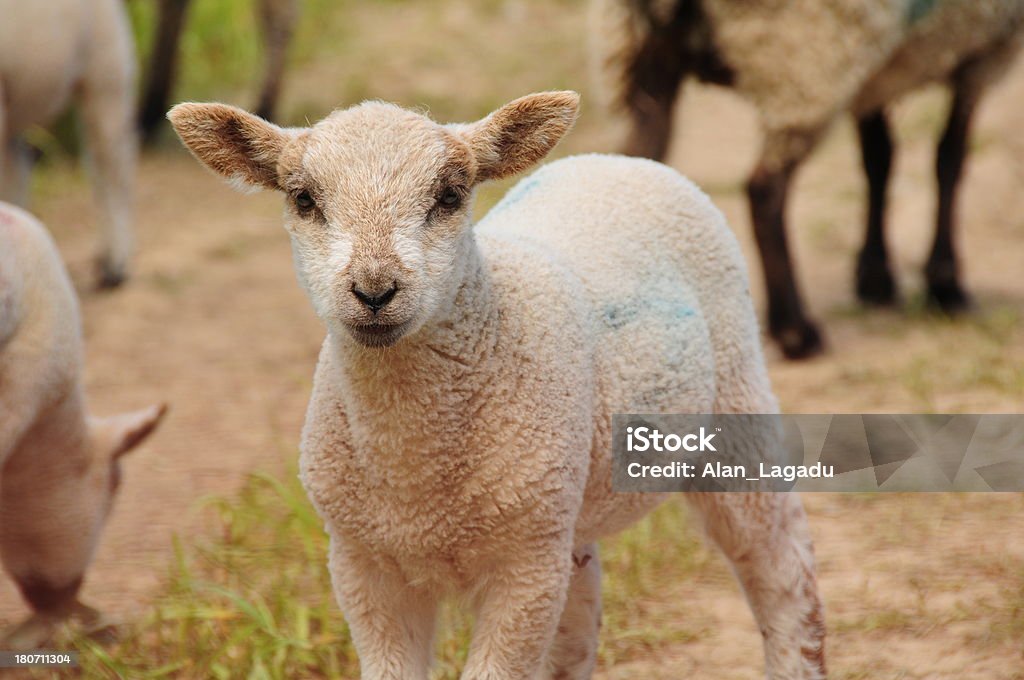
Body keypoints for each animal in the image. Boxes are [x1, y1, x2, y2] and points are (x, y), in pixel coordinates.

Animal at [165, 91, 823, 680]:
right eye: (303, 199)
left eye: (449, 196)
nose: (374, 291)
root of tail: (617, 160)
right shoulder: (363, 565)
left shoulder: (523, 571)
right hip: (564, 510)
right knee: (579, 622)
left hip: (735, 399)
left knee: (782, 569)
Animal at [593, 0, 1024, 358]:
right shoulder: (984, 50)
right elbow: (949, 159)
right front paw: (946, 285)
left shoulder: (878, 72)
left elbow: (879, 158)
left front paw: (875, 277)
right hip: (805, 60)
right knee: (765, 188)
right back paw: (795, 330)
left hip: (641, 58)